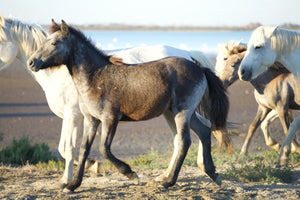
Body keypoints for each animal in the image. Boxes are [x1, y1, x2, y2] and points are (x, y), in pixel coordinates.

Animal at [0, 15, 220, 188]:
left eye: (54, 43)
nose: (32, 62)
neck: (96, 77)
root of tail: (197, 66)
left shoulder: (106, 118)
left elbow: (101, 150)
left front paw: (131, 174)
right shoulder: (90, 119)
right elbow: (81, 149)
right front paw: (72, 184)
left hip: (182, 112)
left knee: (184, 141)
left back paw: (168, 181)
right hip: (174, 113)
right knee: (201, 131)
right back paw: (210, 174)